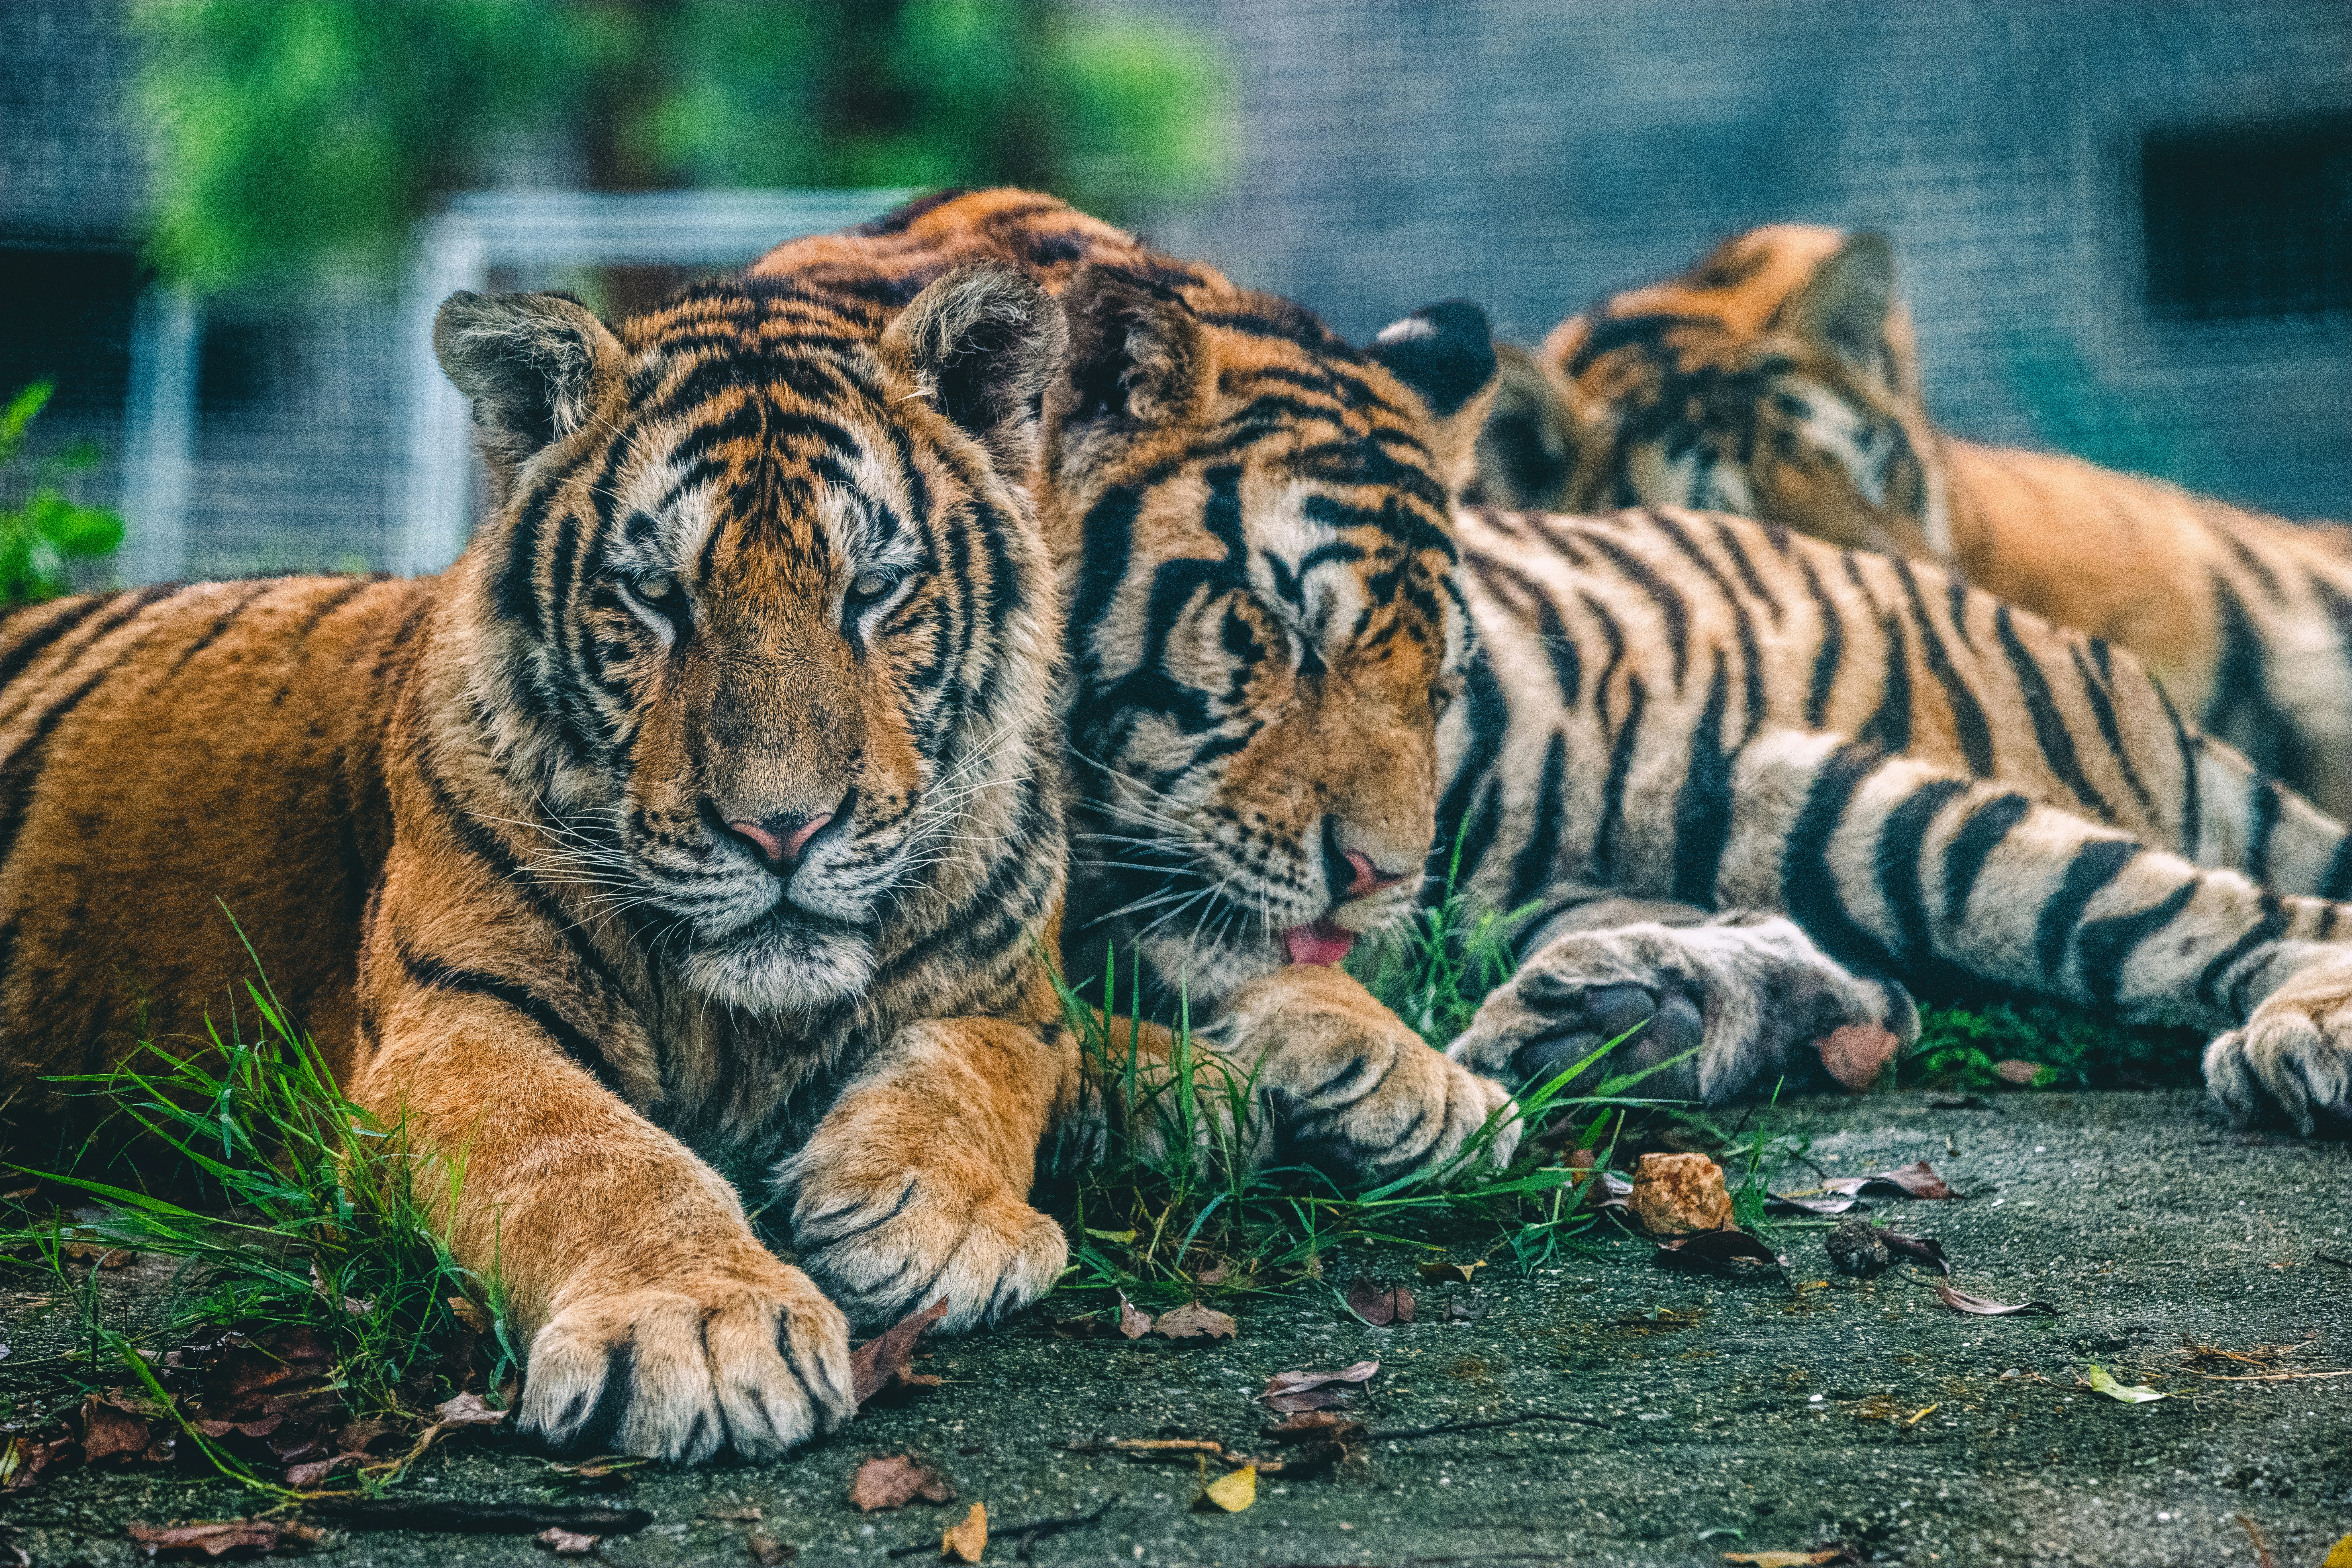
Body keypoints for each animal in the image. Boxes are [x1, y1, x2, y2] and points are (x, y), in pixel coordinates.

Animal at [0, 262, 1130, 1464]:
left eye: (871, 592)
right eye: (656, 598)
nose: (781, 831)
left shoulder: (1013, 999)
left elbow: (965, 1075)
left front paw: (935, 1221)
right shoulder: (453, 1019)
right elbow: (586, 1155)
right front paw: (700, 1321)